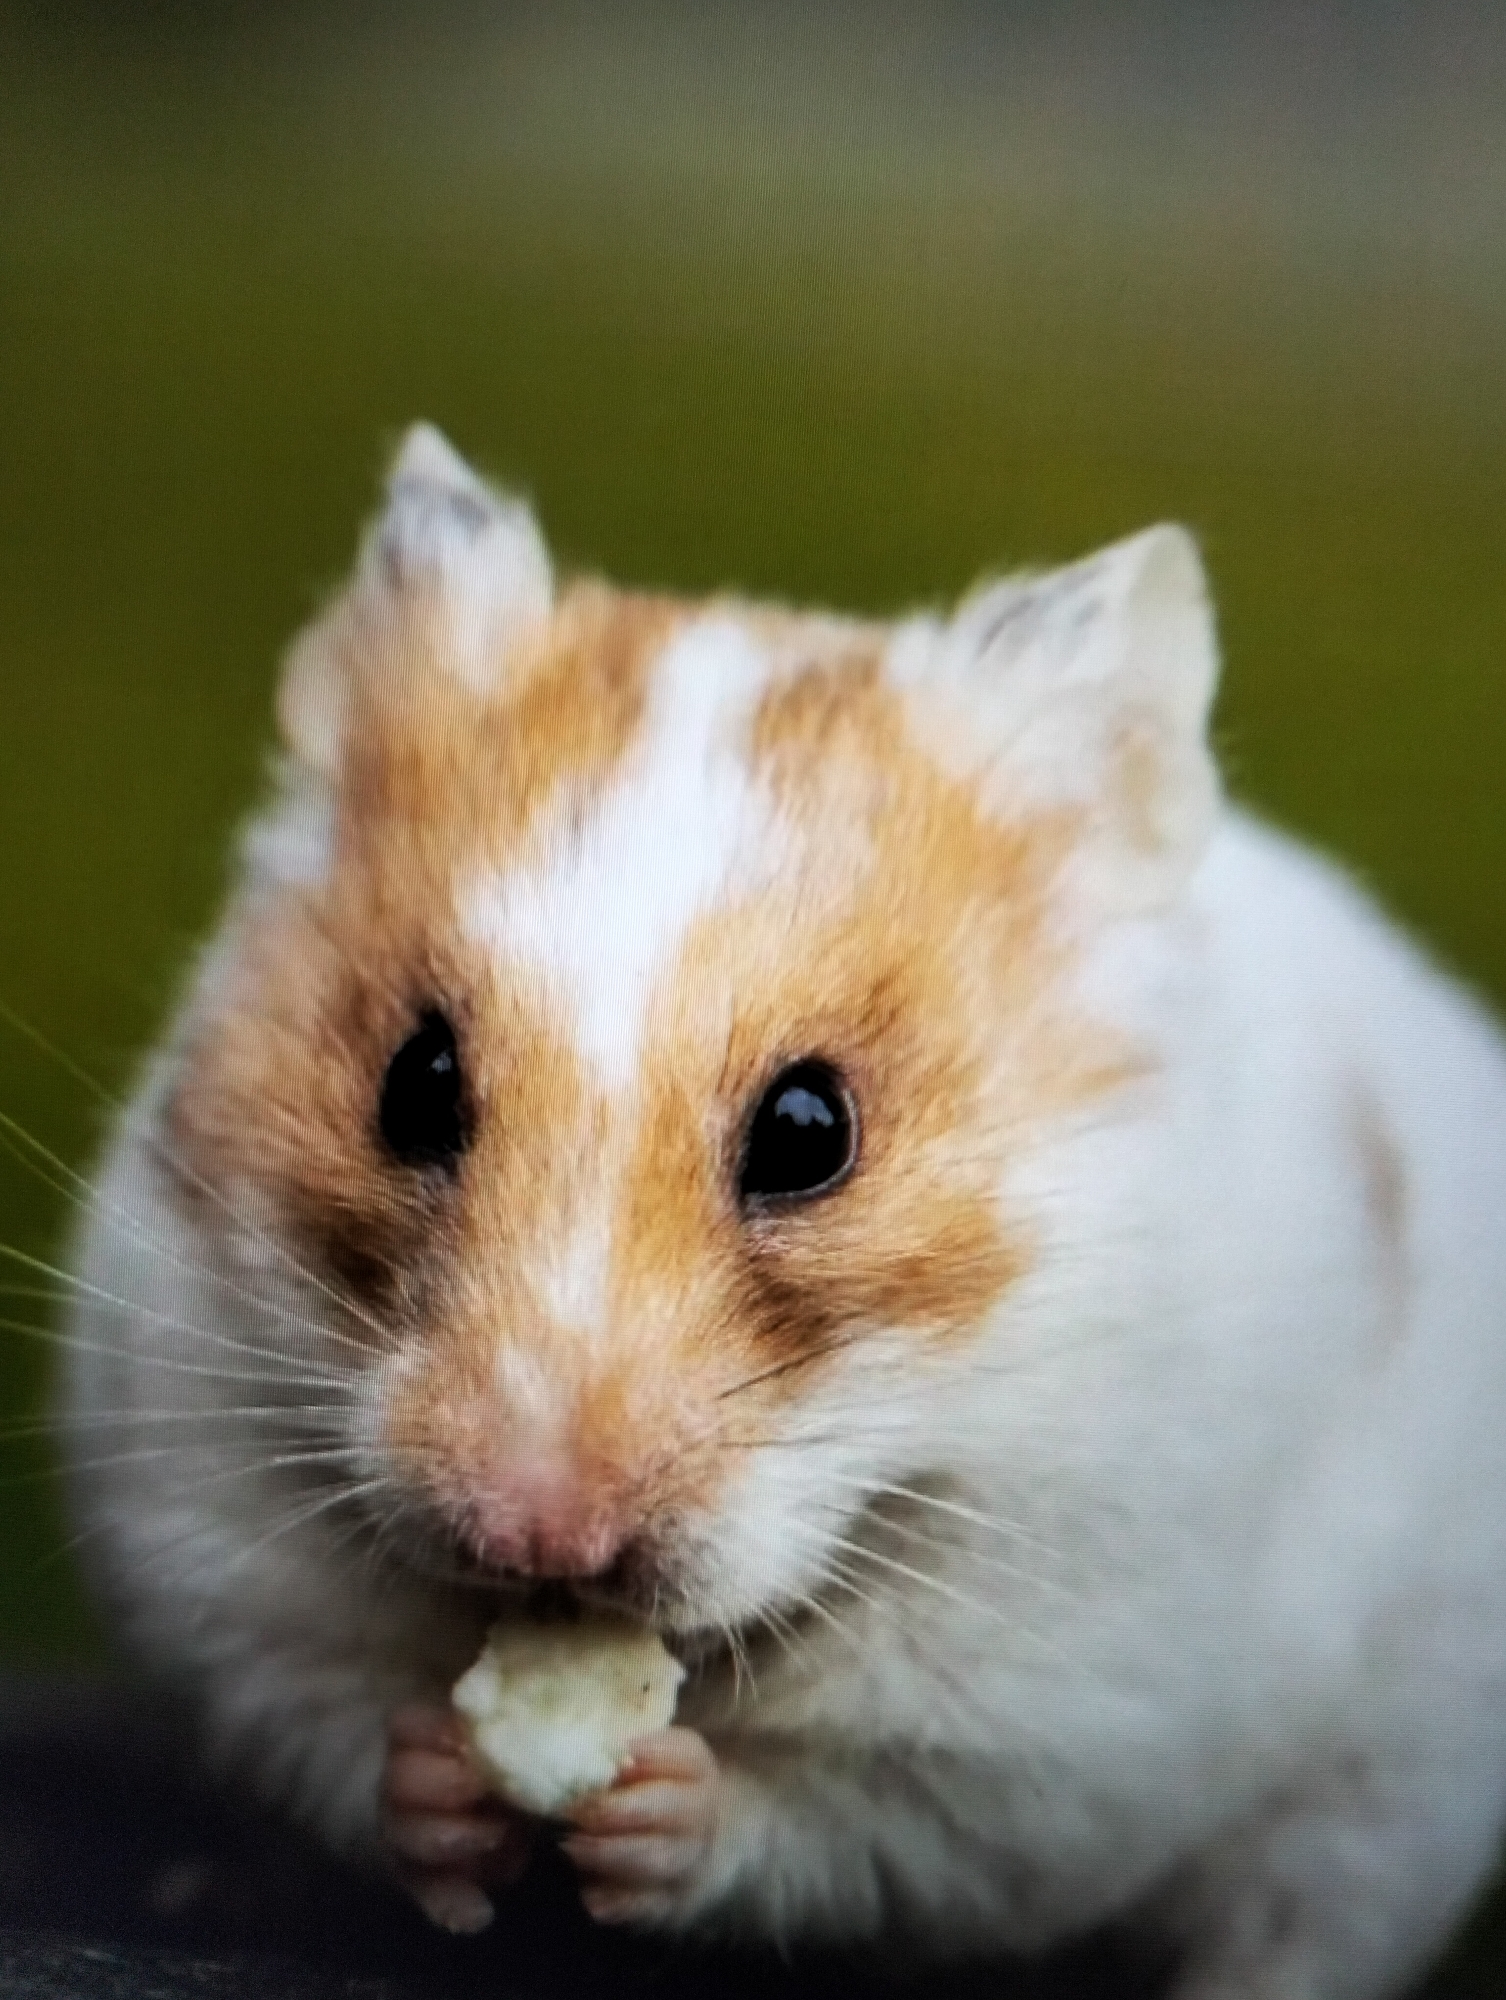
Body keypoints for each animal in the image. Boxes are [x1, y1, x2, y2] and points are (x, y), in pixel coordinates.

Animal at [62, 422, 1506, 1997]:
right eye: (415, 1082)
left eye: (812, 1131)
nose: (537, 1537)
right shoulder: (227, 1567)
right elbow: (346, 1733)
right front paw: (449, 1781)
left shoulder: (1043, 1734)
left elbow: (829, 1823)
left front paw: (651, 1804)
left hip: (1371, 1812)